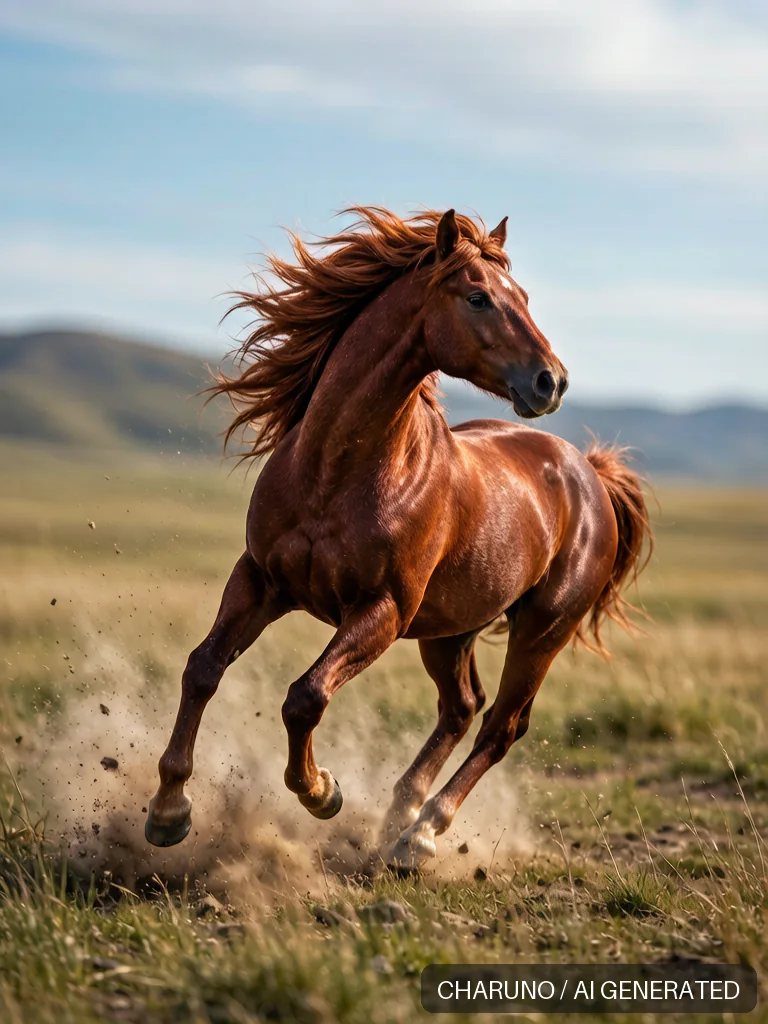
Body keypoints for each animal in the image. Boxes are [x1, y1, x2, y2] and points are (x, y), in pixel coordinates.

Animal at [145, 206, 651, 869]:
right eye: (479, 297)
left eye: (523, 297)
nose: (552, 382)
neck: (335, 471)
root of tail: (588, 473)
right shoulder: (260, 580)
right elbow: (203, 668)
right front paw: (168, 810)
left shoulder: (382, 610)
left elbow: (305, 696)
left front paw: (321, 792)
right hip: (451, 629)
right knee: (461, 707)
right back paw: (399, 816)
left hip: (542, 630)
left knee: (501, 727)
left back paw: (423, 834)